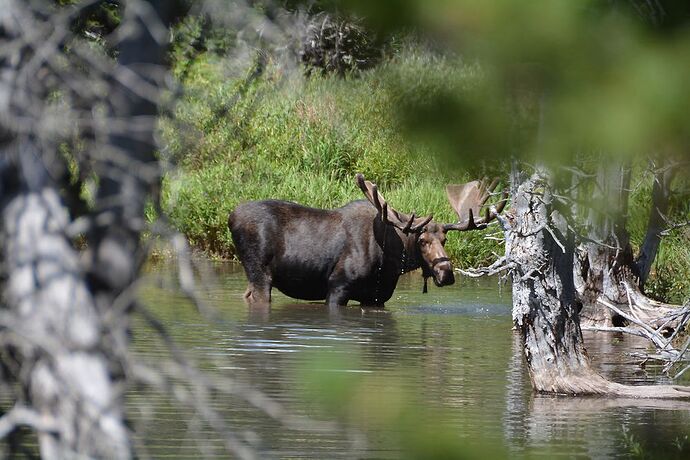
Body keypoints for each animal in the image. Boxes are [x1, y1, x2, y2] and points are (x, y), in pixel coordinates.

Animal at [228, 174, 502, 308]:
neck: (390, 262)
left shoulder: (376, 297)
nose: (447, 274)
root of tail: (230, 217)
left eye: (445, 239)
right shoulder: (337, 286)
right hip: (260, 272)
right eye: (422, 240)